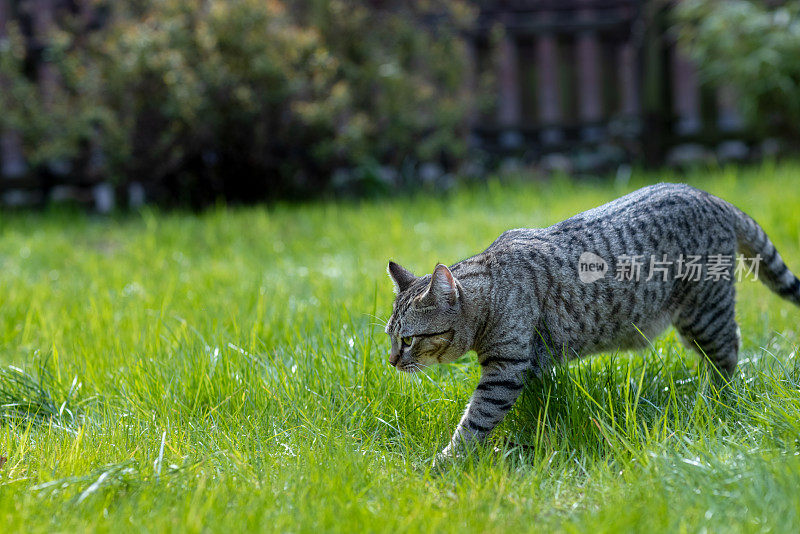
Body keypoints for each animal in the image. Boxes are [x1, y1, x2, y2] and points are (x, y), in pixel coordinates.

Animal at [382, 184, 800, 464]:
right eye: (390, 338)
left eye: (409, 340)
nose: (391, 361)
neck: (494, 289)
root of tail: (711, 197)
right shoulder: (534, 363)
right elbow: (541, 403)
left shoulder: (506, 368)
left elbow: (476, 418)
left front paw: (447, 461)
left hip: (705, 313)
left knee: (729, 353)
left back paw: (713, 401)